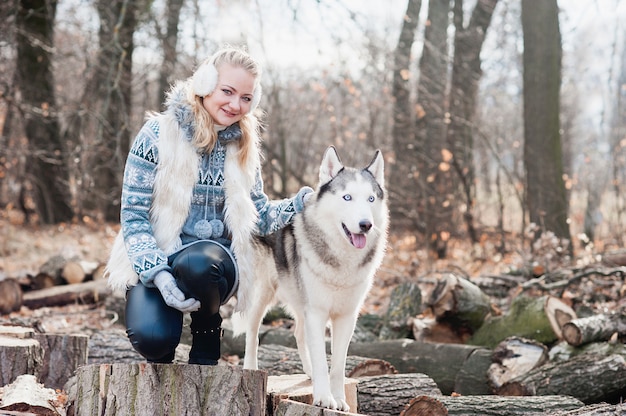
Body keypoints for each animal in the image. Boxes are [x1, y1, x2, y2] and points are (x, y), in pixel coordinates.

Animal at [238, 145, 386, 410]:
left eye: (371, 199)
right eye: (347, 197)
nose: (365, 225)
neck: (342, 261)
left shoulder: (346, 317)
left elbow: (337, 365)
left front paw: (339, 400)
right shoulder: (317, 313)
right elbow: (322, 360)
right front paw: (324, 398)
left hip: (300, 302)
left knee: (298, 333)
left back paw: (308, 373)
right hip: (262, 296)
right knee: (252, 332)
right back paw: (251, 369)